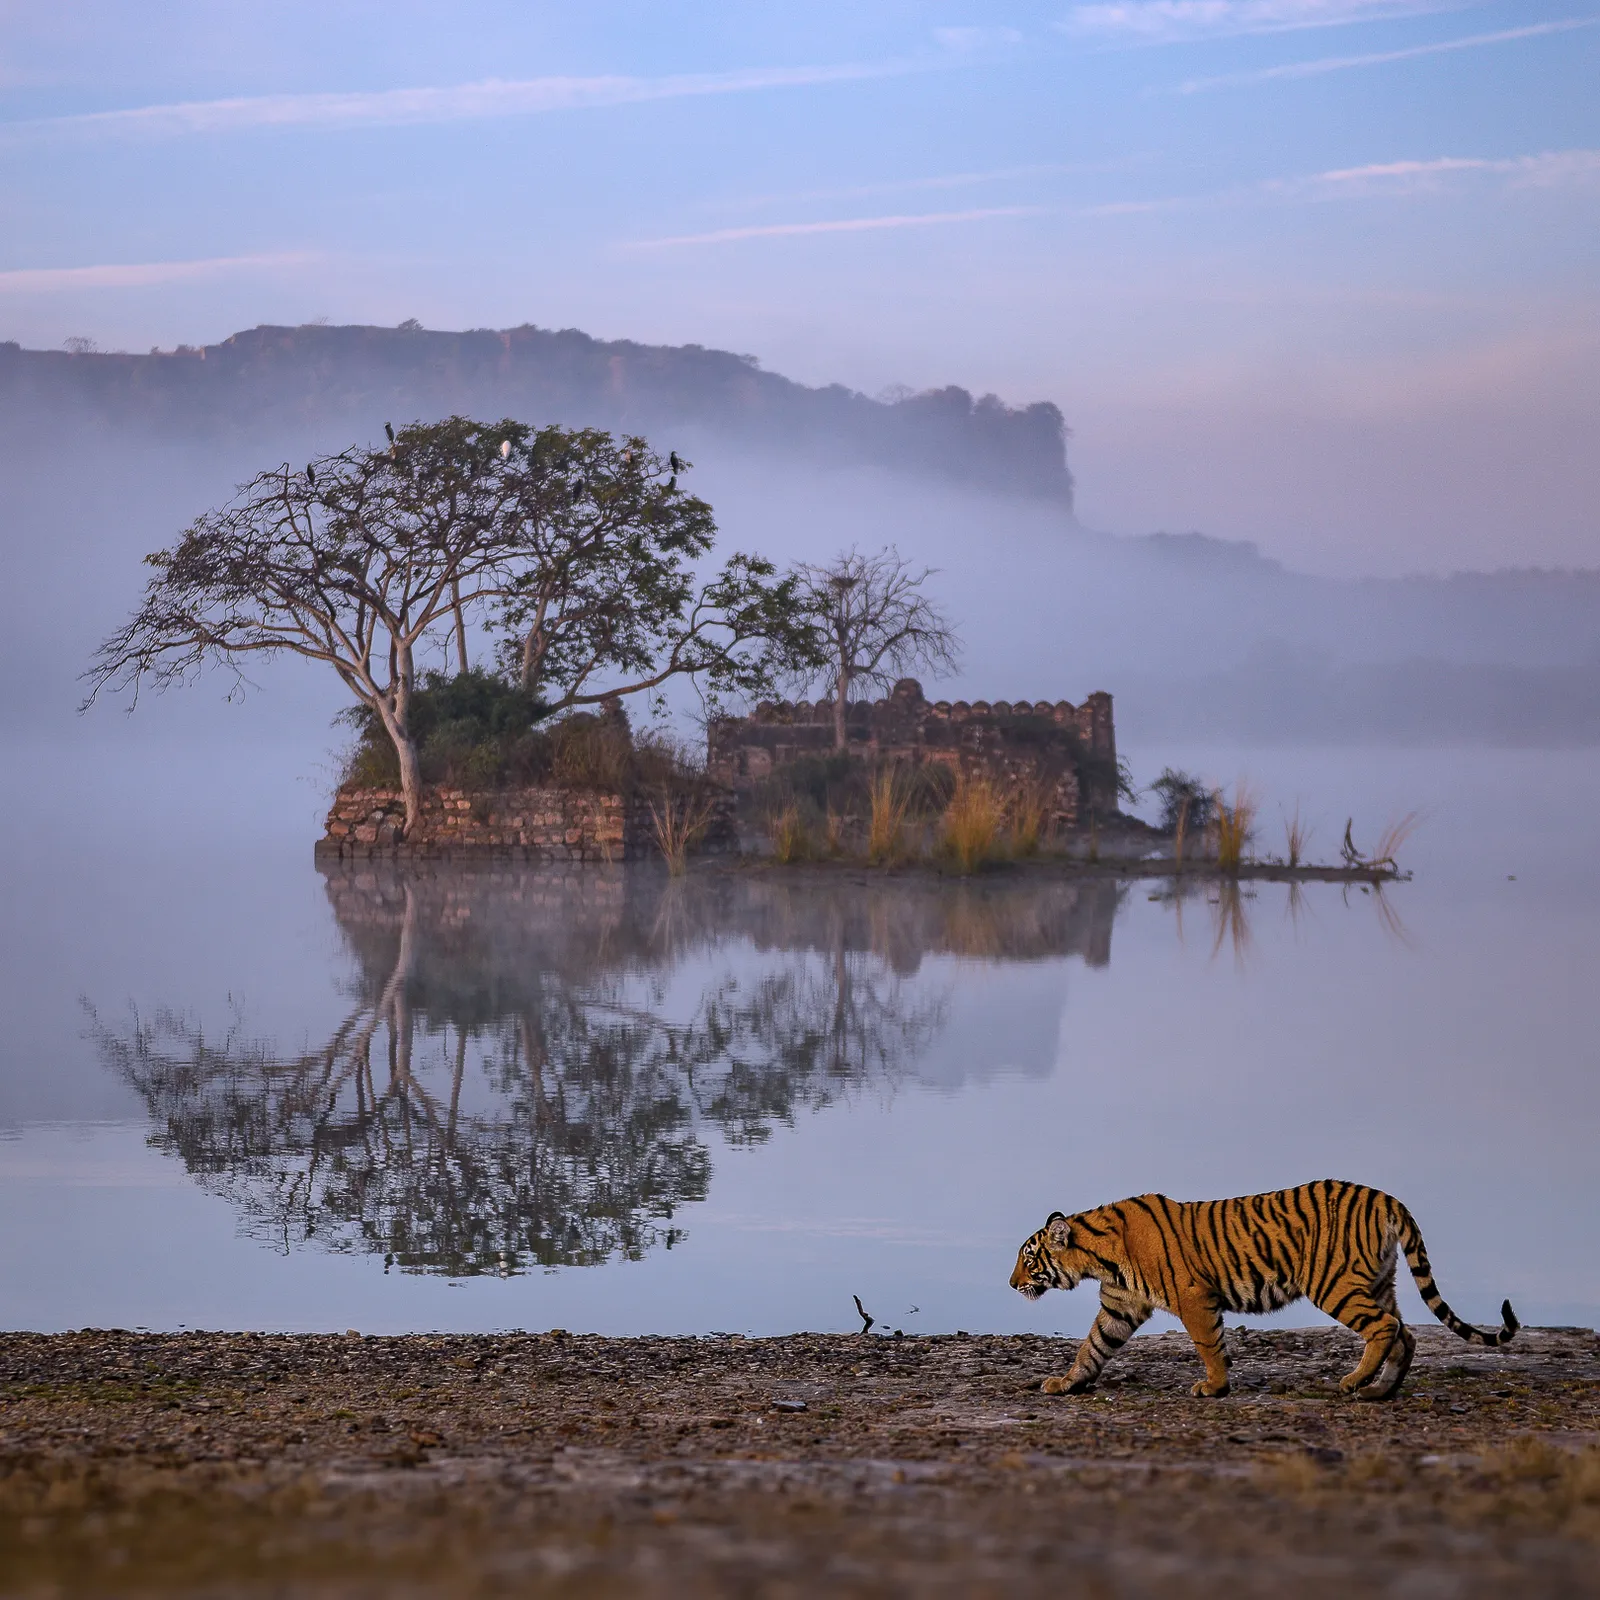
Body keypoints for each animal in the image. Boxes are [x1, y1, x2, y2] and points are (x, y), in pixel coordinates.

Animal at [1009, 1178, 1517, 1401]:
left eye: (1028, 1259)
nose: (1012, 1284)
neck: (1100, 1258)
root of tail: (1387, 1197)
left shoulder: (1194, 1298)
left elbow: (1209, 1345)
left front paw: (1214, 1387)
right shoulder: (1120, 1306)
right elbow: (1092, 1346)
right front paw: (1067, 1383)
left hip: (1334, 1284)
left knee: (1385, 1327)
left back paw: (1354, 1382)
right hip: (1377, 1281)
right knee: (1405, 1333)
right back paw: (1380, 1390)